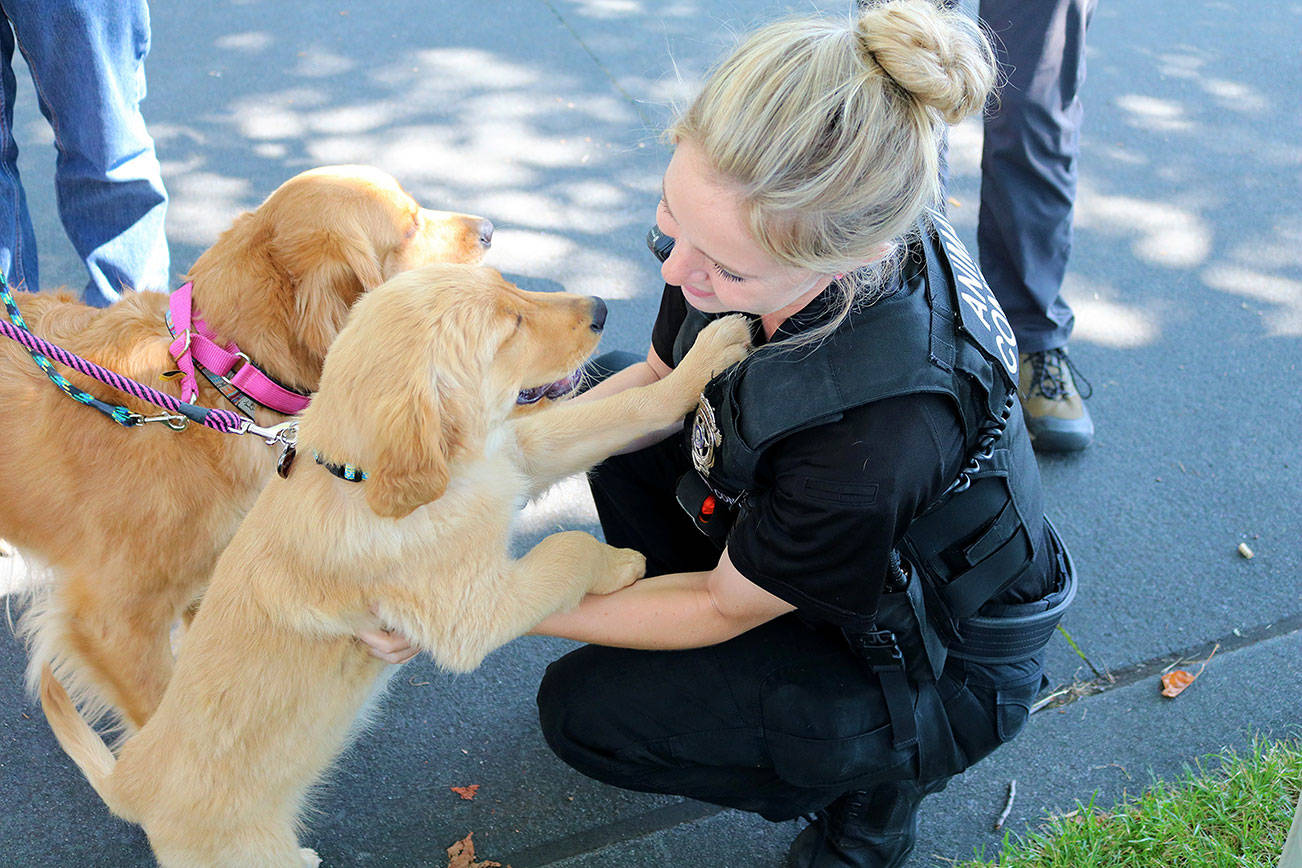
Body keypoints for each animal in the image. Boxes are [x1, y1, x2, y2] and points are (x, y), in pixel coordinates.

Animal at [43, 265, 755, 868]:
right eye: (510, 327)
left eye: (510, 287)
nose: (603, 307)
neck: (372, 480)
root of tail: (131, 780)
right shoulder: (468, 612)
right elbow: (564, 550)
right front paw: (617, 563)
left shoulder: (516, 455)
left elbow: (625, 409)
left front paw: (710, 352)